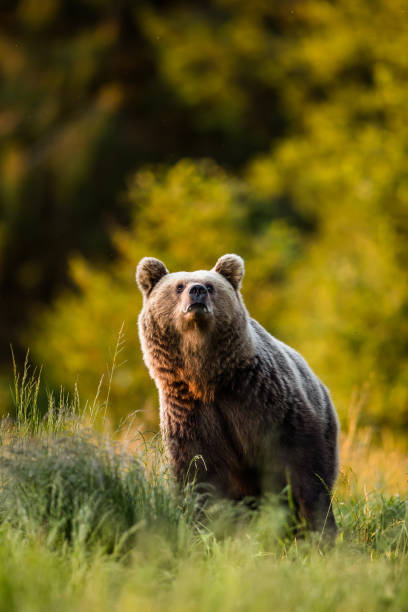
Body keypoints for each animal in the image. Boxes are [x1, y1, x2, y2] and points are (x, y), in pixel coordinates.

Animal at [136, 252, 338, 532]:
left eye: (210, 286)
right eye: (179, 286)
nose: (197, 292)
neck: (208, 379)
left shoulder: (262, 400)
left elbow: (302, 465)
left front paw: (318, 525)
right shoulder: (191, 415)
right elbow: (199, 474)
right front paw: (204, 525)